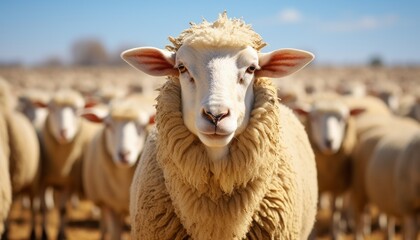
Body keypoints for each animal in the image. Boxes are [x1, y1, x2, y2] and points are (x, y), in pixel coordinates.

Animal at [38, 88, 101, 240]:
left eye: (78, 110)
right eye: (51, 108)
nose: (63, 132)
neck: (60, 165)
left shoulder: (68, 182)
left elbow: (63, 210)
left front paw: (61, 235)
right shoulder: (43, 182)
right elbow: (43, 209)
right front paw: (44, 233)